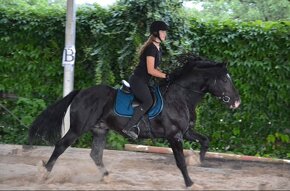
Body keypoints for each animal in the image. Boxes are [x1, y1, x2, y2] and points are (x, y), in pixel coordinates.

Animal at [28, 54, 240, 187]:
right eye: (224, 80)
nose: (236, 102)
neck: (180, 97)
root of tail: (81, 92)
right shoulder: (174, 136)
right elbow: (180, 162)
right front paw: (190, 183)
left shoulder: (186, 132)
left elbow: (205, 141)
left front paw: (198, 160)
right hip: (78, 128)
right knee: (61, 146)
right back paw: (44, 174)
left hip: (100, 129)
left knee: (95, 154)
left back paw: (107, 178)